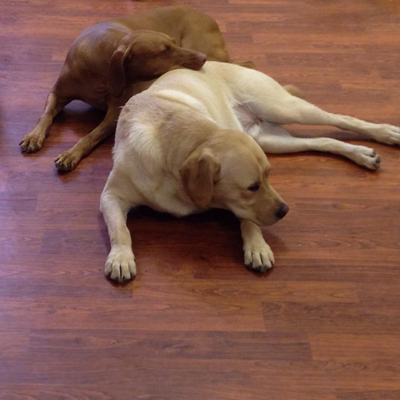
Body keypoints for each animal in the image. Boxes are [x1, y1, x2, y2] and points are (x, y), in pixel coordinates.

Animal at [20, 6, 241, 171]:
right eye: (164, 51)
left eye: (173, 43)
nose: (202, 58)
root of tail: (209, 18)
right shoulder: (57, 92)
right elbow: (46, 114)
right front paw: (34, 136)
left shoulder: (114, 112)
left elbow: (91, 135)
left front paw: (71, 153)